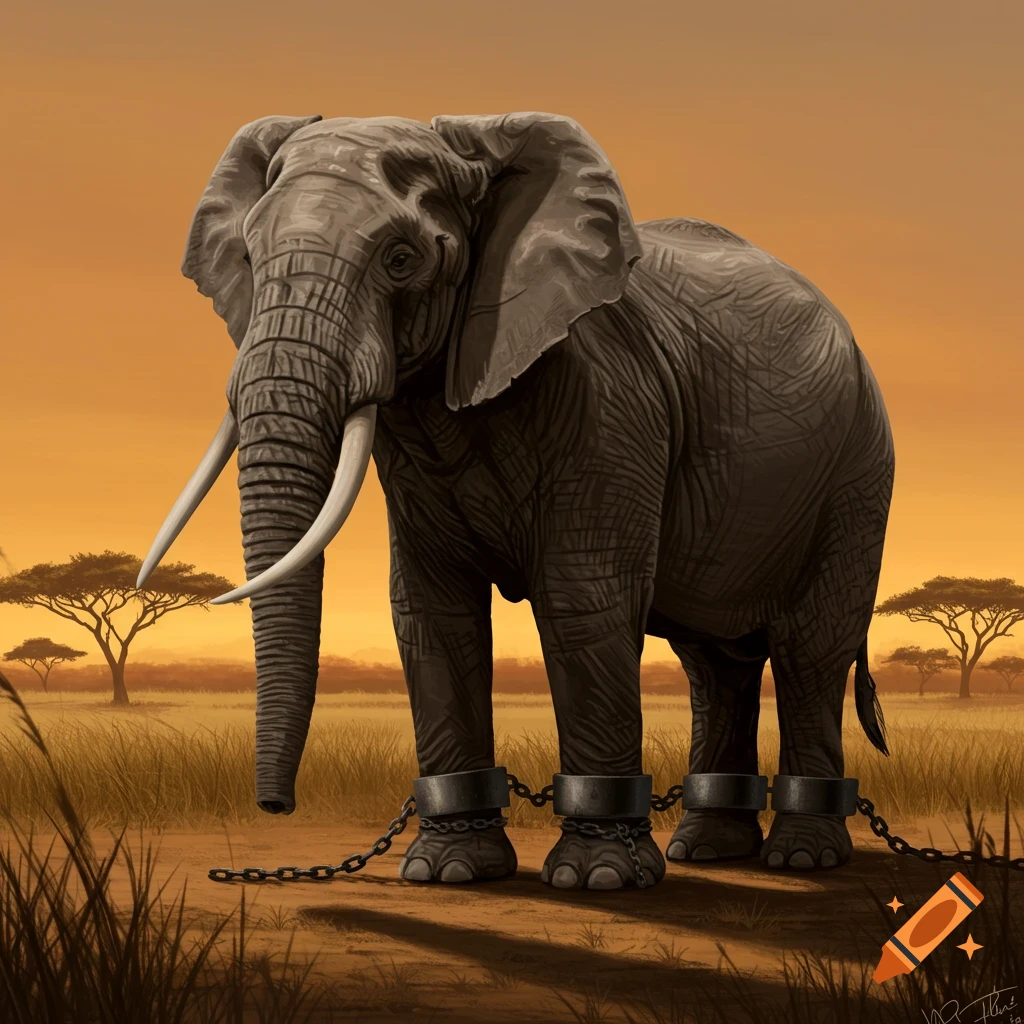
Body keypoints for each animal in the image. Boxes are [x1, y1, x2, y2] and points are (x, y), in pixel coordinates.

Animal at [139, 111, 895, 891]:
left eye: (401, 258)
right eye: (251, 256)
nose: (274, 806)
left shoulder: (608, 401)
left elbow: (582, 597)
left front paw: (597, 881)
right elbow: (431, 612)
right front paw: (446, 872)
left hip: (856, 472)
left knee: (810, 650)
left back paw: (801, 857)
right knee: (715, 664)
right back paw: (708, 848)